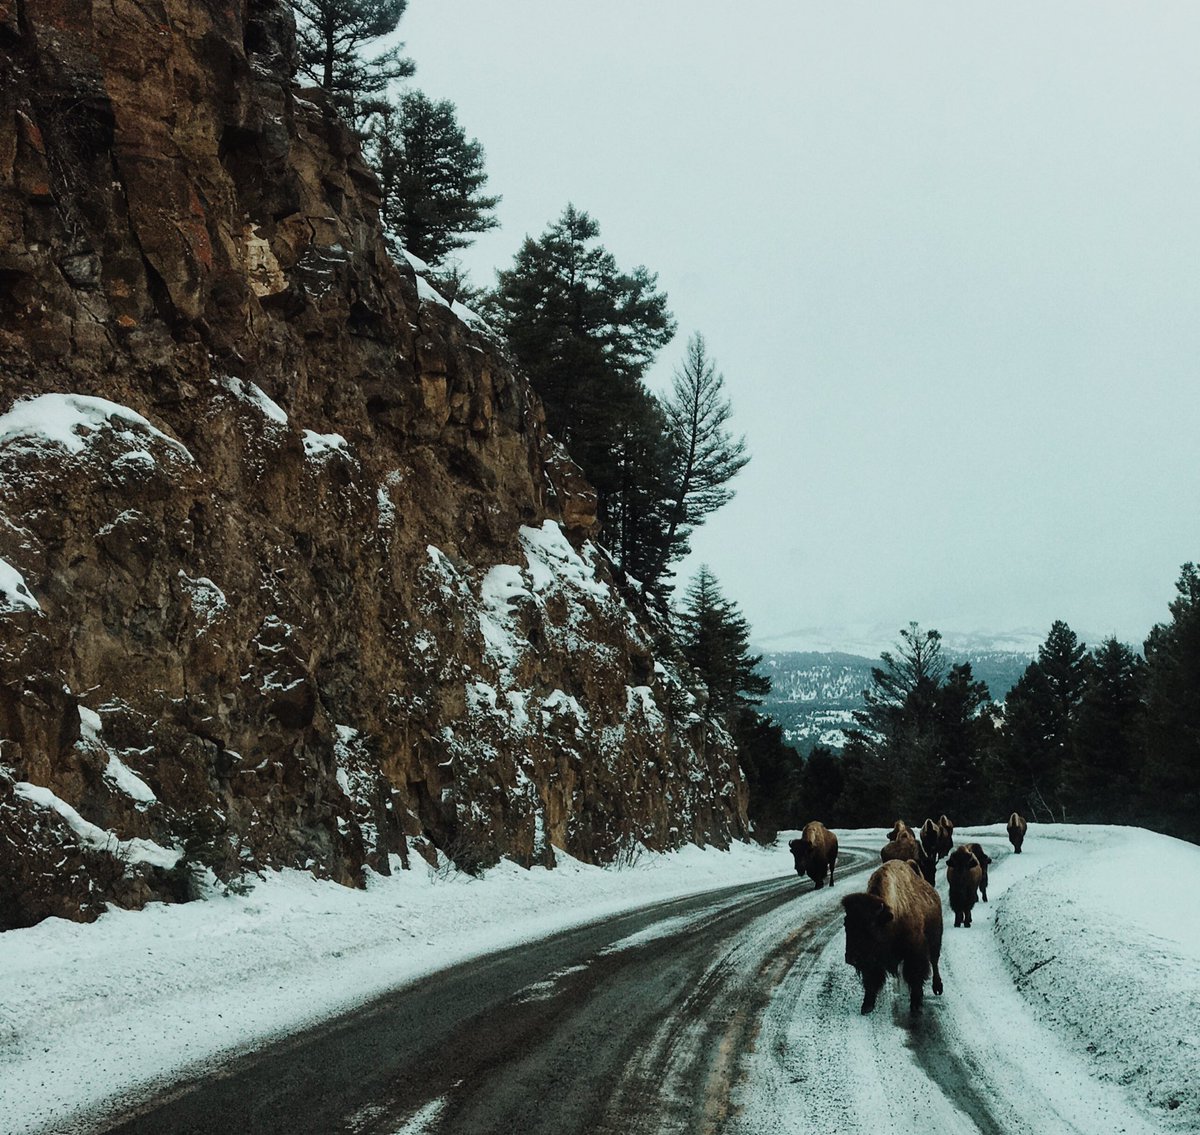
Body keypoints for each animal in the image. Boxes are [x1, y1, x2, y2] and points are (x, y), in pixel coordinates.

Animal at [840, 854, 940, 1012]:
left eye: (870, 926)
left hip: (936, 940)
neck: (889, 918)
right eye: (846, 924)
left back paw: (937, 987)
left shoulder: (915, 952)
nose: (851, 958)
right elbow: (871, 980)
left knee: (935, 962)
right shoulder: (871, 960)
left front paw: (915, 1005)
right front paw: (867, 1005)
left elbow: (915, 976)